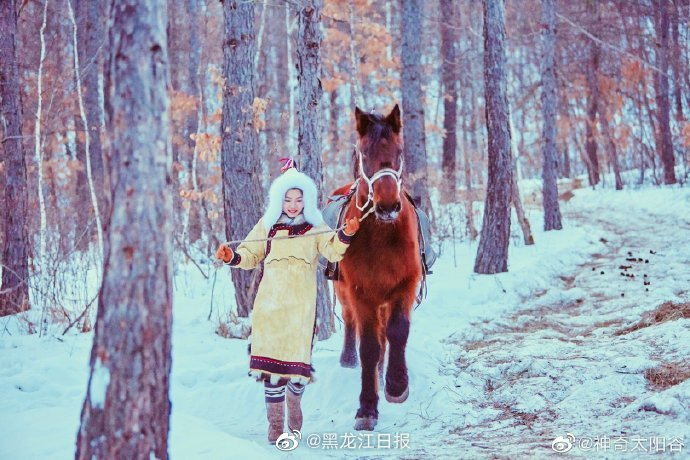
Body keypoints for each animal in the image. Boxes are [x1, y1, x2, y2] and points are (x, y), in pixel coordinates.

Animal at [330, 104, 422, 432]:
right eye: (364, 153)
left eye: (399, 151)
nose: (387, 206)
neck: (382, 234)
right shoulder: (361, 293)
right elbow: (368, 346)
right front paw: (367, 408)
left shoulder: (406, 283)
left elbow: (397, 331)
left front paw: (396, 384)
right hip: (343, 291)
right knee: (350, 322)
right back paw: (347, 359)